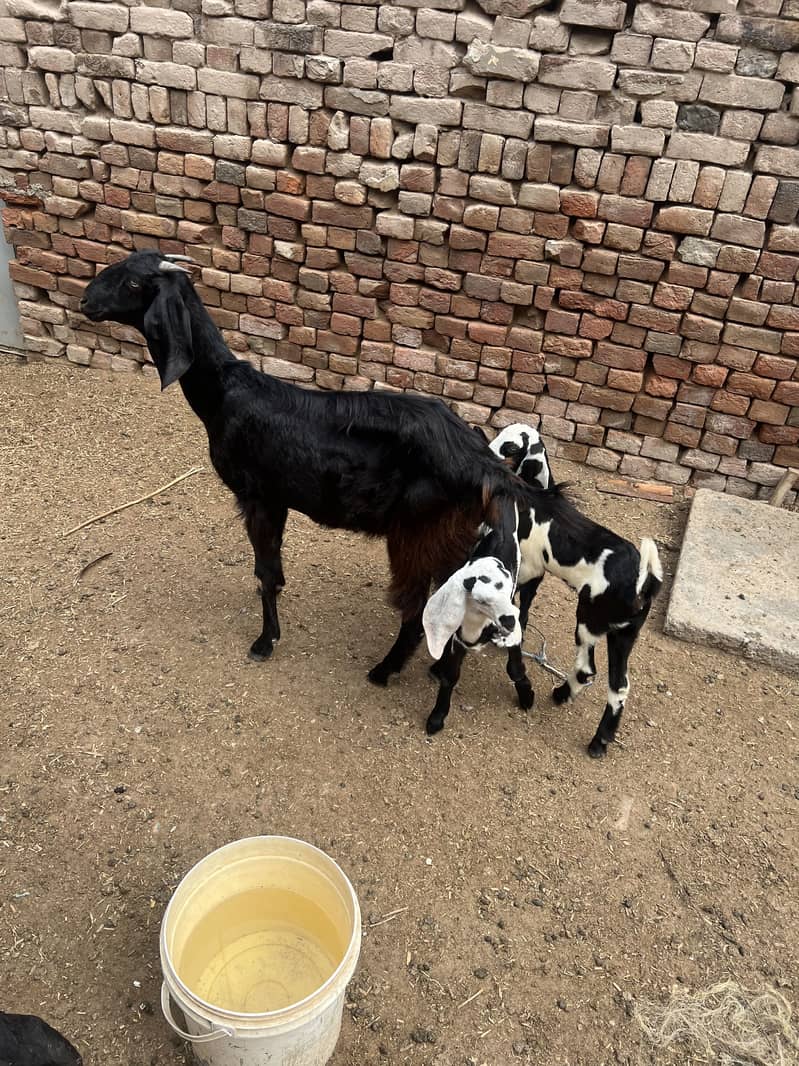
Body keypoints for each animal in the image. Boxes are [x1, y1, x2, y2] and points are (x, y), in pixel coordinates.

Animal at [80, 250, 524, 681]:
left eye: (132, 282)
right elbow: (271, 570)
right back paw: (436, 668)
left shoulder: (259, 496)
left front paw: (265, 641)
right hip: (452, 535)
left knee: (415, 610)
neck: (225, 394)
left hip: (416, 533)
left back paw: (384, 671)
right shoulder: (278, 501)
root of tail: (488, 468)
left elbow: (266, 572)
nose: (85, 301)